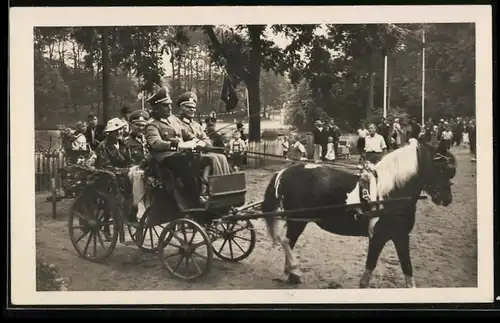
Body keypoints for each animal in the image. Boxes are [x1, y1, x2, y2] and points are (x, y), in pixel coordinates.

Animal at [262, 139, 458, 288]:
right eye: (442, 168)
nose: (447, 199)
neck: (390, 194)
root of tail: (284, 171)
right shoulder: (380, 236)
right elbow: (373, 267)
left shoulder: (399, 236)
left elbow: (406, 269)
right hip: (297, 220)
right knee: (286, 240)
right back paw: (294, 269)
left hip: (297, 219)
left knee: (289, 241)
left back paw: (290, 274)